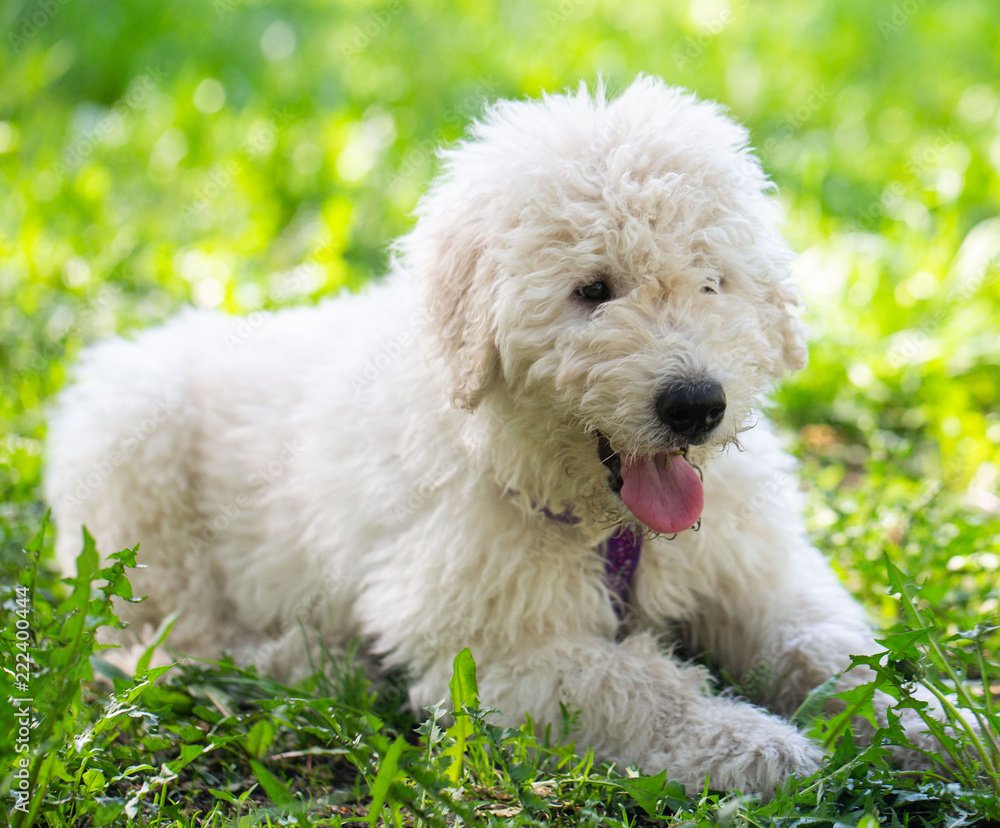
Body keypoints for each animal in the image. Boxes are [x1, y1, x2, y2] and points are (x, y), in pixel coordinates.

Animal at [45, 77, 920, 796]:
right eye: (592, 291)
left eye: (712, 283)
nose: (697, 404)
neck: (606, 527)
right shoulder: (492, 655)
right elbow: (638, 688)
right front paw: (758, 745)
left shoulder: (755, 575)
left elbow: (830, 648)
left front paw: (926, 722)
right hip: (133, 477)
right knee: (162, 640)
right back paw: (308, 661)